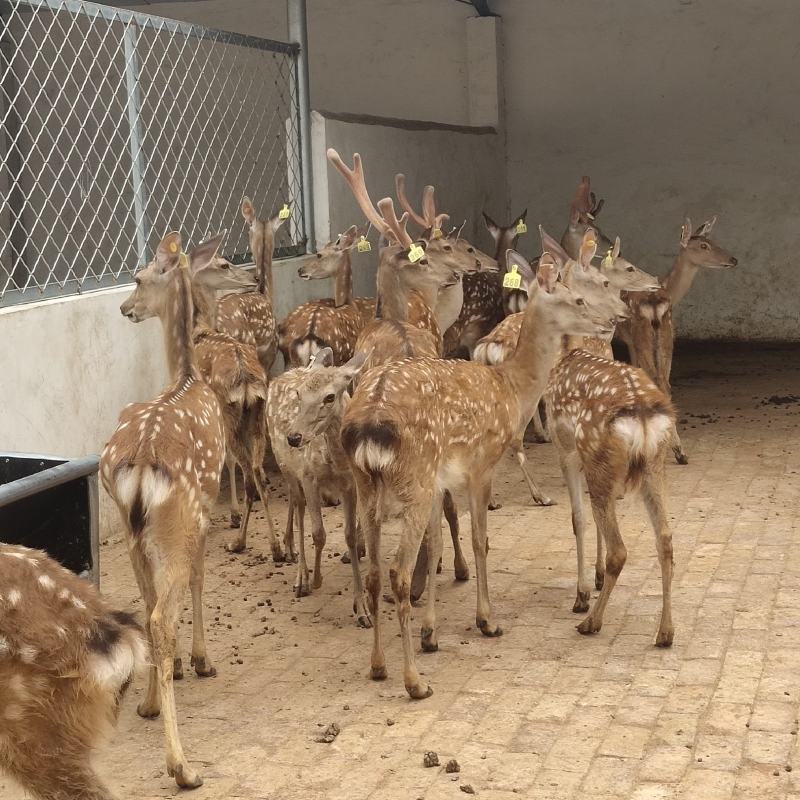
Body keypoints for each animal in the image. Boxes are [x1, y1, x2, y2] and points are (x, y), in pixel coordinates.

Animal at [266, 348, 370, 621]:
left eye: (330, 396)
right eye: (299, 395)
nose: (294, 437)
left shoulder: (350, 485)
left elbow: (349, 536)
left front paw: (361, 606)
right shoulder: (309, 477)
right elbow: (318, 533)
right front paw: (316, 580)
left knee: (297, 506)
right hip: (287, 467)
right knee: (299, 508)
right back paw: (301, 577)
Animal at [341, 252, 615, 699]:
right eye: (578, 299)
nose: (608, 321)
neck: (512, 389)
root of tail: (367, 427)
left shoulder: (441, 482)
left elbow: (437, 545)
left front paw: (431, 633)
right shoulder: (481, 466)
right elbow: (481, 541)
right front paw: (487, 620)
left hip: (371, 486)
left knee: (376, 572)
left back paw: (378, 665)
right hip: (413, 479)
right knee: (397, 572)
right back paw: (414, 682)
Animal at [545, 348, 676, 647]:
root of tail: (641, 413)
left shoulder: (565, 450)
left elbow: (577, 519)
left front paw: (582, 594)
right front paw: (597, 577)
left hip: (598, 459)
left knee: (619, 549)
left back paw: (591, 621)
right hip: (653, 465)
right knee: (665, 538)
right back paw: (665, 632)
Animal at [617, 217, 737, 464]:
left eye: (714, 241)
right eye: (704, 245)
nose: (733, 259)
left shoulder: (630, 341)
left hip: (651, 337)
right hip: (664, 337)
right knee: (664, 383)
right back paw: (677, 450)